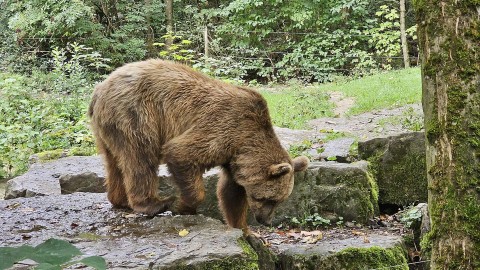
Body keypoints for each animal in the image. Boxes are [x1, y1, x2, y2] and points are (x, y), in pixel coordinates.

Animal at [88, 59, 310, 232]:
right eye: (269, 199)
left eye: (279, 200)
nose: (265, 220)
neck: (245, 142)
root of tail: (99, 90)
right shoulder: (222, 129)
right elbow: (181, 153)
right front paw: (182, 205)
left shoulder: (233, 158)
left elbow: (231, 193)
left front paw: (246, 232)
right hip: (136, 115)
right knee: (141, 158)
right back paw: (154, 204)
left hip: (107, 129)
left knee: (115, 162)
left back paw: (120, 200)